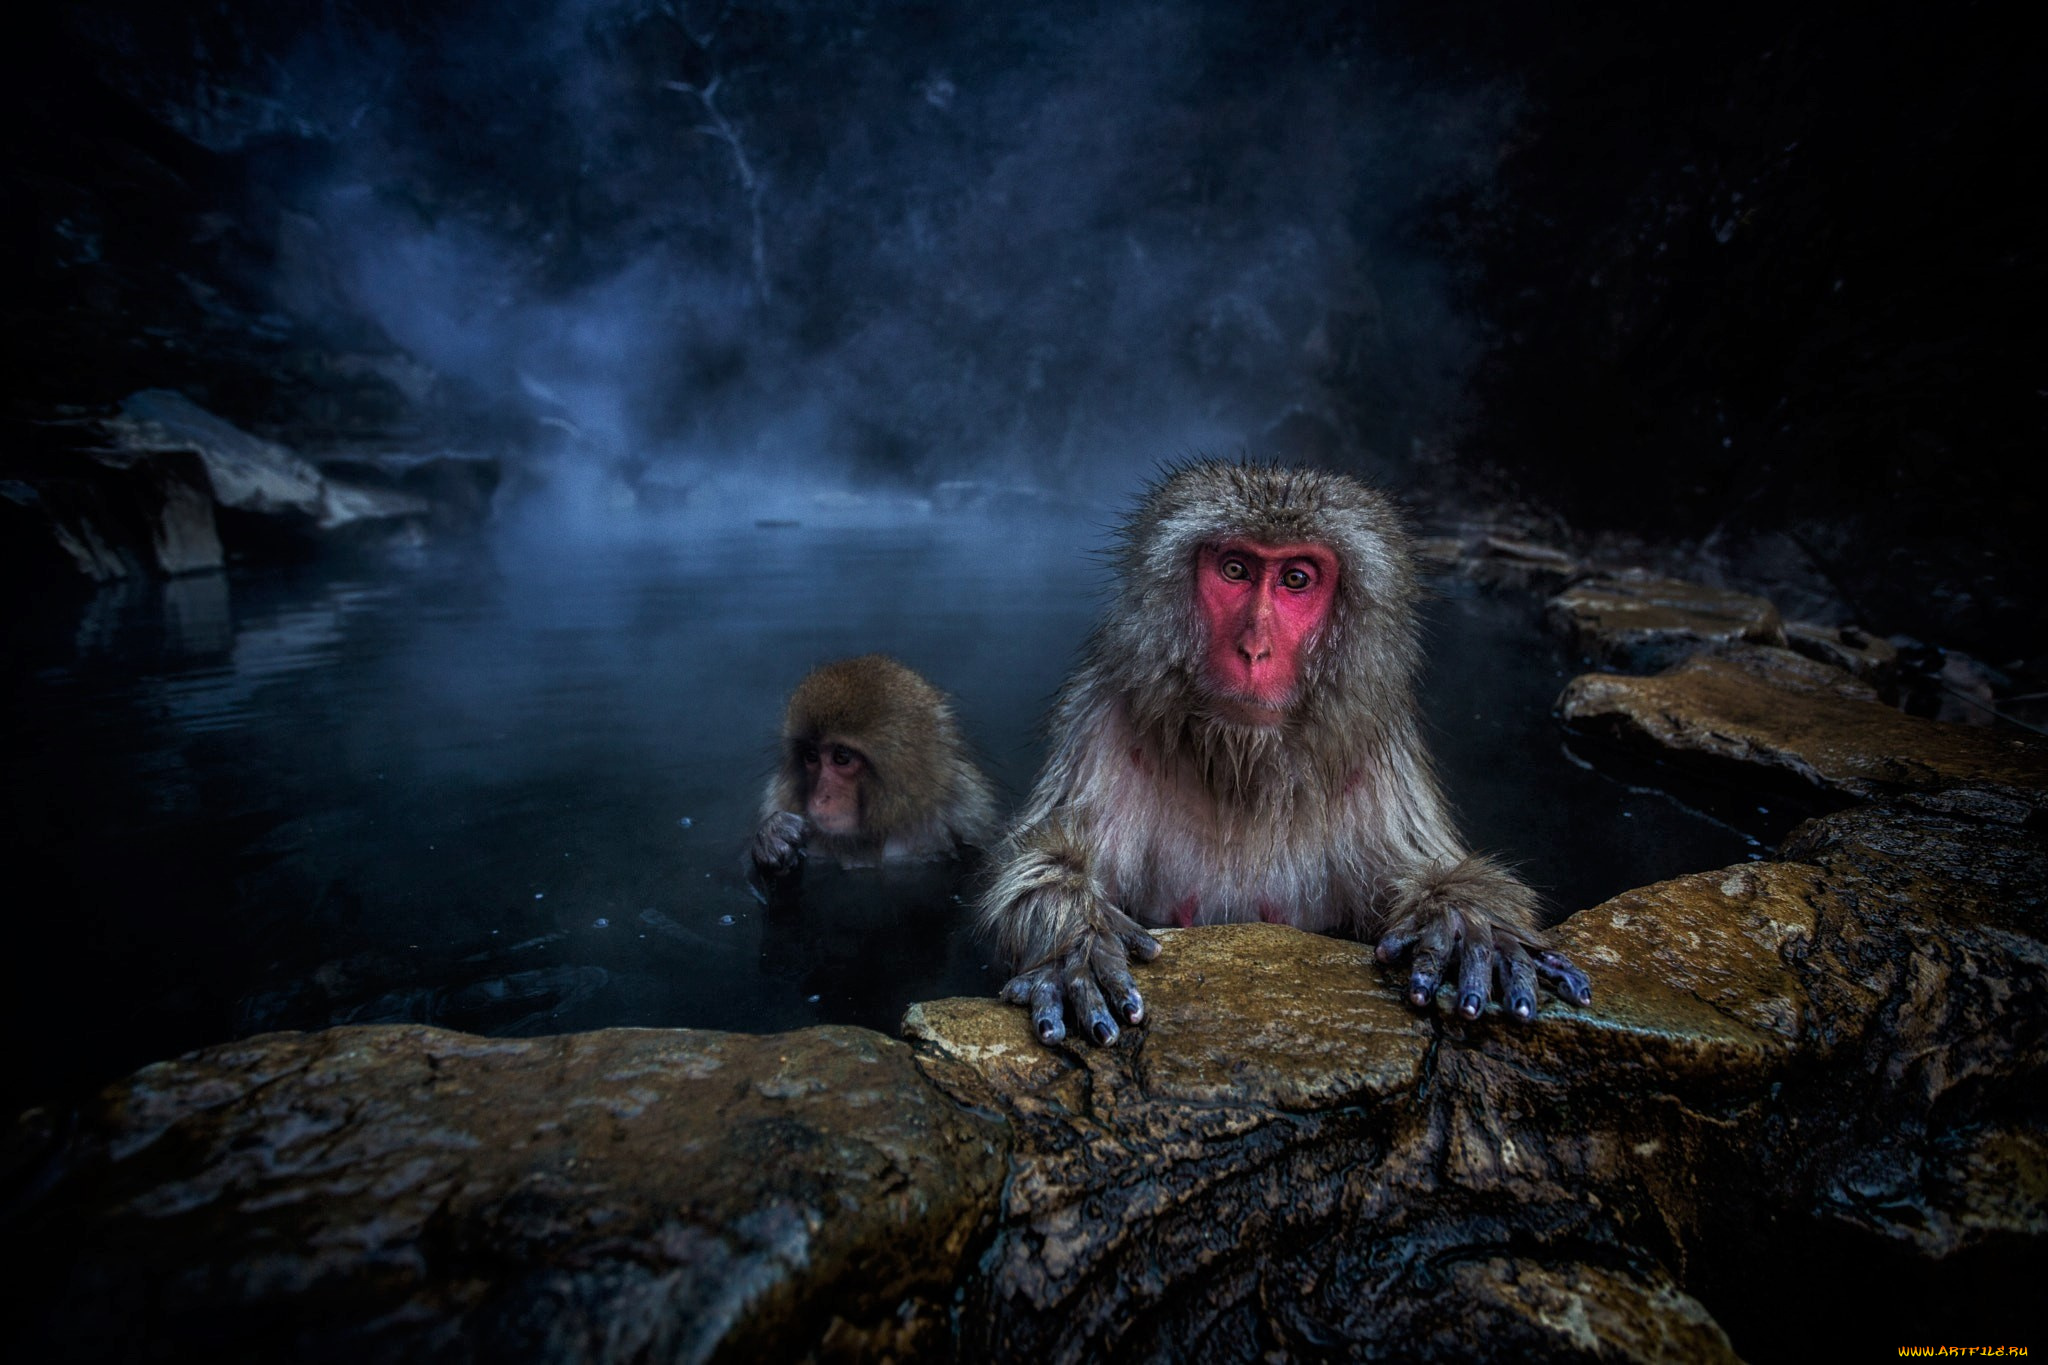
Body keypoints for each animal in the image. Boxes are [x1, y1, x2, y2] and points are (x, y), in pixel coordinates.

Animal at [751, 654, 999, 876]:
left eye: (841, 756)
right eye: (811, 756)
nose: (820, 799)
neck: (868, 837)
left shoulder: (966, 815)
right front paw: (773, 836)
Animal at [979, 461, 1593, 1046]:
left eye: (1296, 579)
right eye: (1235, 570)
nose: (1254, 650)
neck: (1242, 765)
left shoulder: (1375, 748)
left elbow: (1425, 866)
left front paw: (1465, 922)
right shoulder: (1103, 718)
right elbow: (1049, 856)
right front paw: (1074, 942)